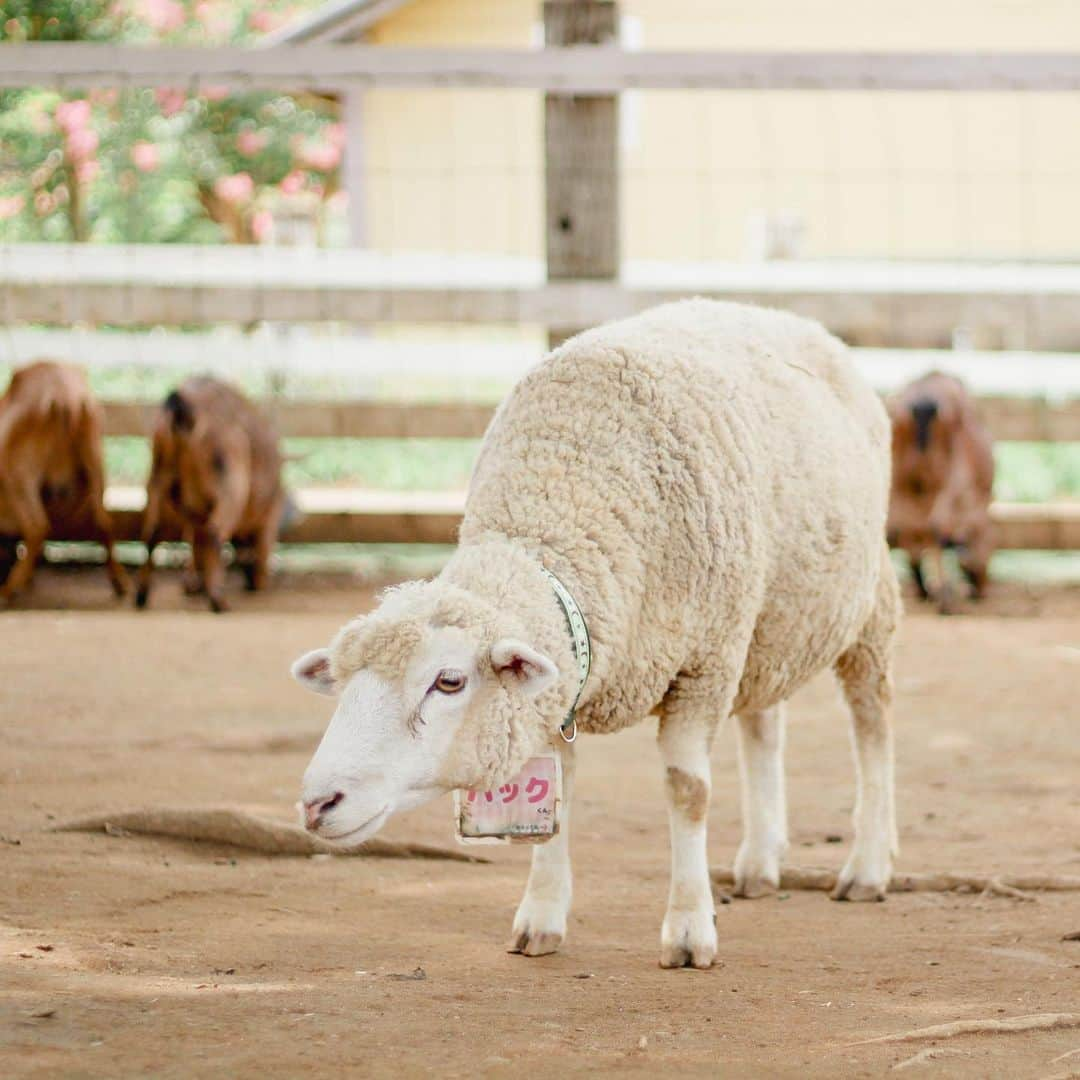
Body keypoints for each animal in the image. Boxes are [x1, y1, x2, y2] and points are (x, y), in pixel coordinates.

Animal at [0, 358, 127, 604]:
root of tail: (66, 397)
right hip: (96, 463)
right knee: (105, 522)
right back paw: (120, 583)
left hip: (20, 475)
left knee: (36, 526)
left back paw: (8, 590)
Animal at [136, 375, 282, 613]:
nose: (250, 581)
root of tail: (184, 407)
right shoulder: (270, 515)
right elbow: (261, 545)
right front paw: (259, 582)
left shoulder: (195, 514)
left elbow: (195, 543)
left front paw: (192, 585)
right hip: (231, 486)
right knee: (214, 533)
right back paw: (219, 601)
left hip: (157, 479)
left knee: (152, 534)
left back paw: (141, 596)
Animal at [291, 300, 898, 967]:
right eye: (341, 683)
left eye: (448, 681)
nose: (317, 803)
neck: (561, 507)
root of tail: (785, 316)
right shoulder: (560, 687)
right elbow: (556, 801)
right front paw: (541, 918)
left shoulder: (703, 663)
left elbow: (688, 791)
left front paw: (690, 929)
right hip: (765, 620)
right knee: (764, 721)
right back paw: (761, 862)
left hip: (862, 603)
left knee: (871, 719)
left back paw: (867, 866)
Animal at [885, 371, 993, 613]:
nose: (982, 589)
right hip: (951, 478)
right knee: (937, 525)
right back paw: (945, 596)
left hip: (896, 482)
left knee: (900, 527)